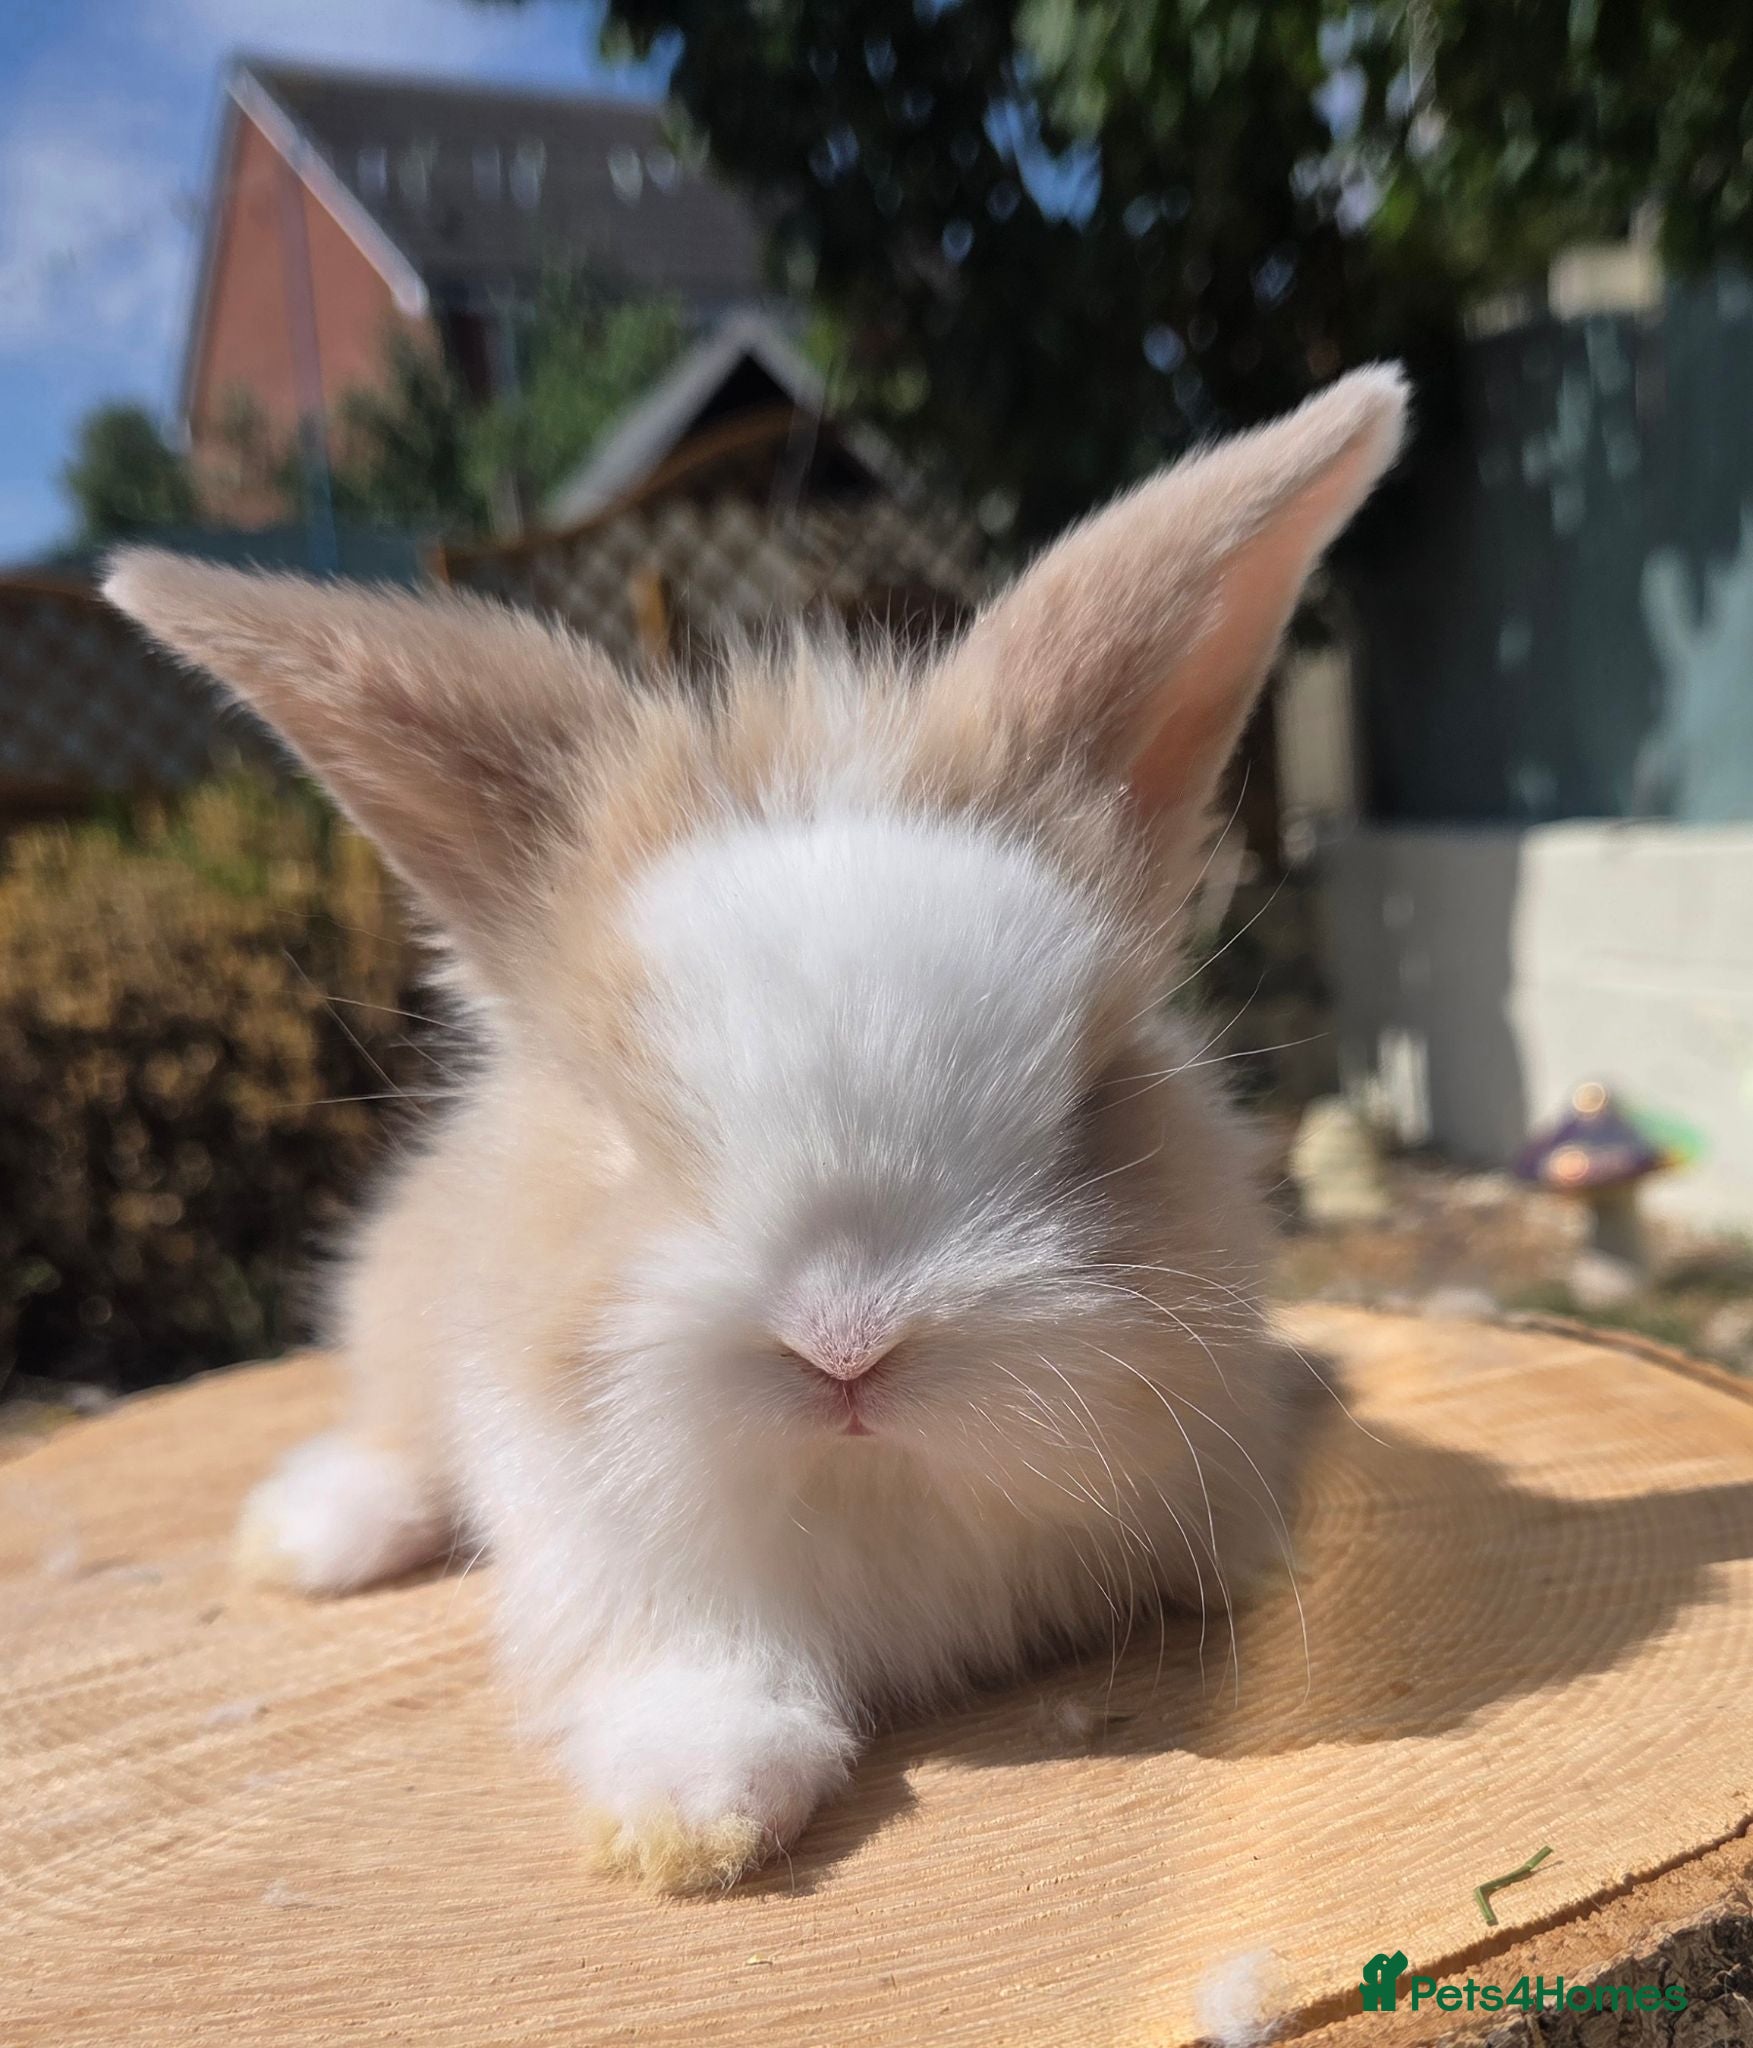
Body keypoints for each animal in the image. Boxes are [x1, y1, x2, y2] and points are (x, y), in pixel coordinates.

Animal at [104, 364, 1407, 1893]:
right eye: (621, 1127)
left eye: (1090, 1097)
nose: (844, 1346)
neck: (875, 1489)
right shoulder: (627, 1562)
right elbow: (705, 1676)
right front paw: (689, 1822)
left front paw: (1271, 1557)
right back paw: (310, 1536)